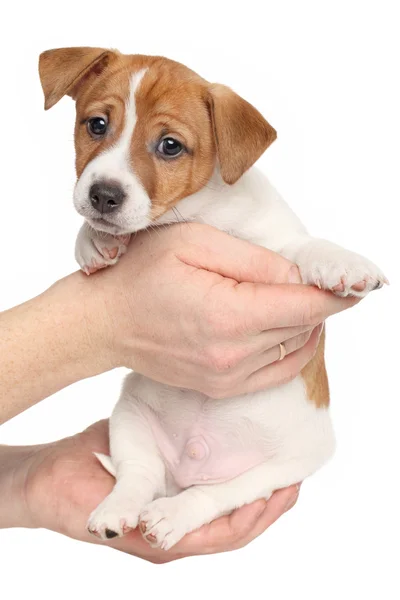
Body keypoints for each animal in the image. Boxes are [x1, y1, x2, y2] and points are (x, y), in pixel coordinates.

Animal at [39, 49, 386, 552]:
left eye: (170, 146)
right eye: (97, 125)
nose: (103, 195)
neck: (199, 212)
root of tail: (187, 469)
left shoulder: (274, 249)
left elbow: (302, 248)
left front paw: (341, 261)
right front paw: (94, 241)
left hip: (282, 467)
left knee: (215, 494)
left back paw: (172, 515)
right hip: (129, 418)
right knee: (138, 476)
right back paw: (117, 510)